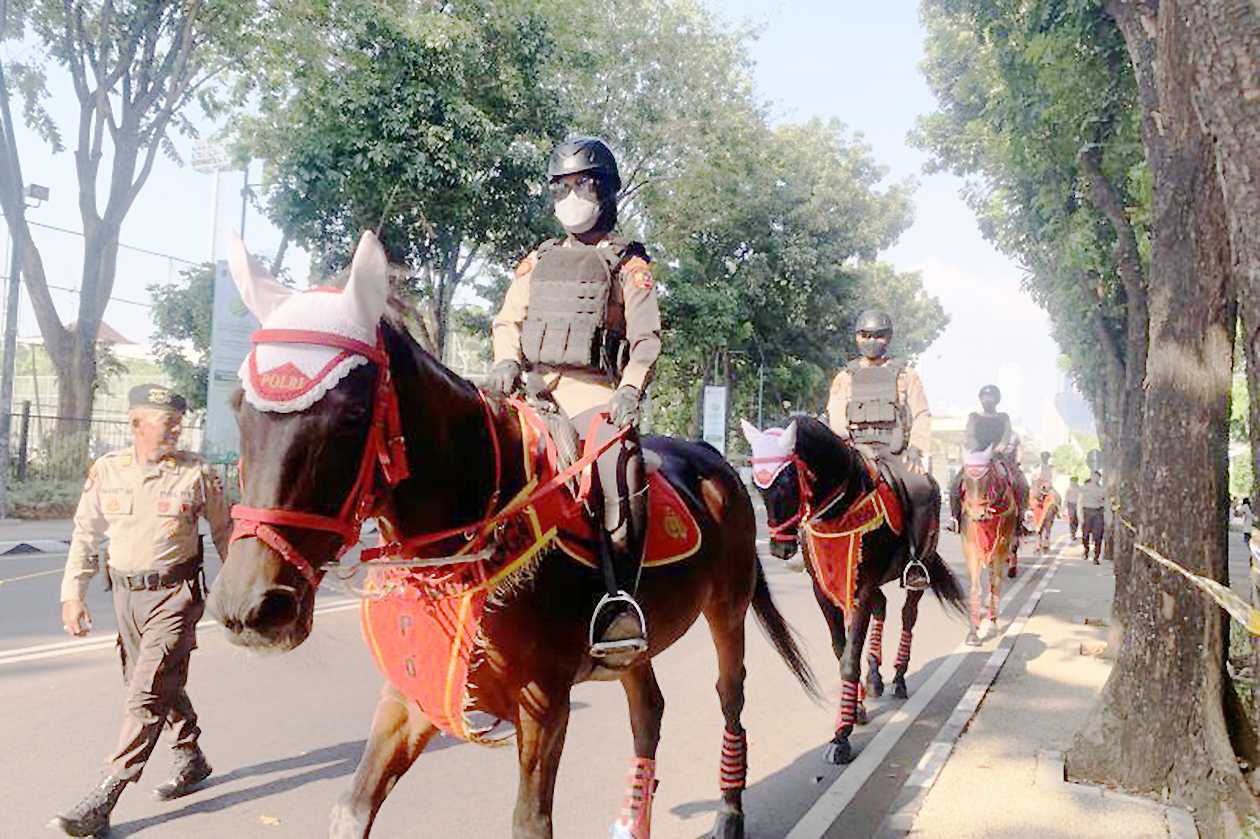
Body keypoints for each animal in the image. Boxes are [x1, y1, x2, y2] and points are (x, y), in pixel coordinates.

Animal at [206, 230, 816, 836]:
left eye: (353, 414)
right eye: (237, 407)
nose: (250, 606)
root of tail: (718, 465)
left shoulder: (544, 701)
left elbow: (530, 821)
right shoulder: (411, 690)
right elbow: (353, 807)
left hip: (727, 608)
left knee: (730, 696)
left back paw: (730, 811)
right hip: (635, 649)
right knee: (649, 712)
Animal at [735, 415, 962, 760]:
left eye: (786, 482)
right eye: (758, 487)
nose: (779, 549)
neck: (840, 507)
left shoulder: (862, 589)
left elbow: (849, 658)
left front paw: (842, 735)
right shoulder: (825, 592)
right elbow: (842, 650)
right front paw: (856, 708)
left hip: (915, 571)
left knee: (908, 616)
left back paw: (898, 678)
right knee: (882, 607)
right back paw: (876, 679)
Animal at [957, 450, 1018, 639]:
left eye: (987, 476)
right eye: (965, 478)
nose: (978, 513)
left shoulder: (1002, 546)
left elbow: (996, 584)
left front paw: (992, 624)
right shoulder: (969, 546)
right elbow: (975, 587)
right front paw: (973, 632)